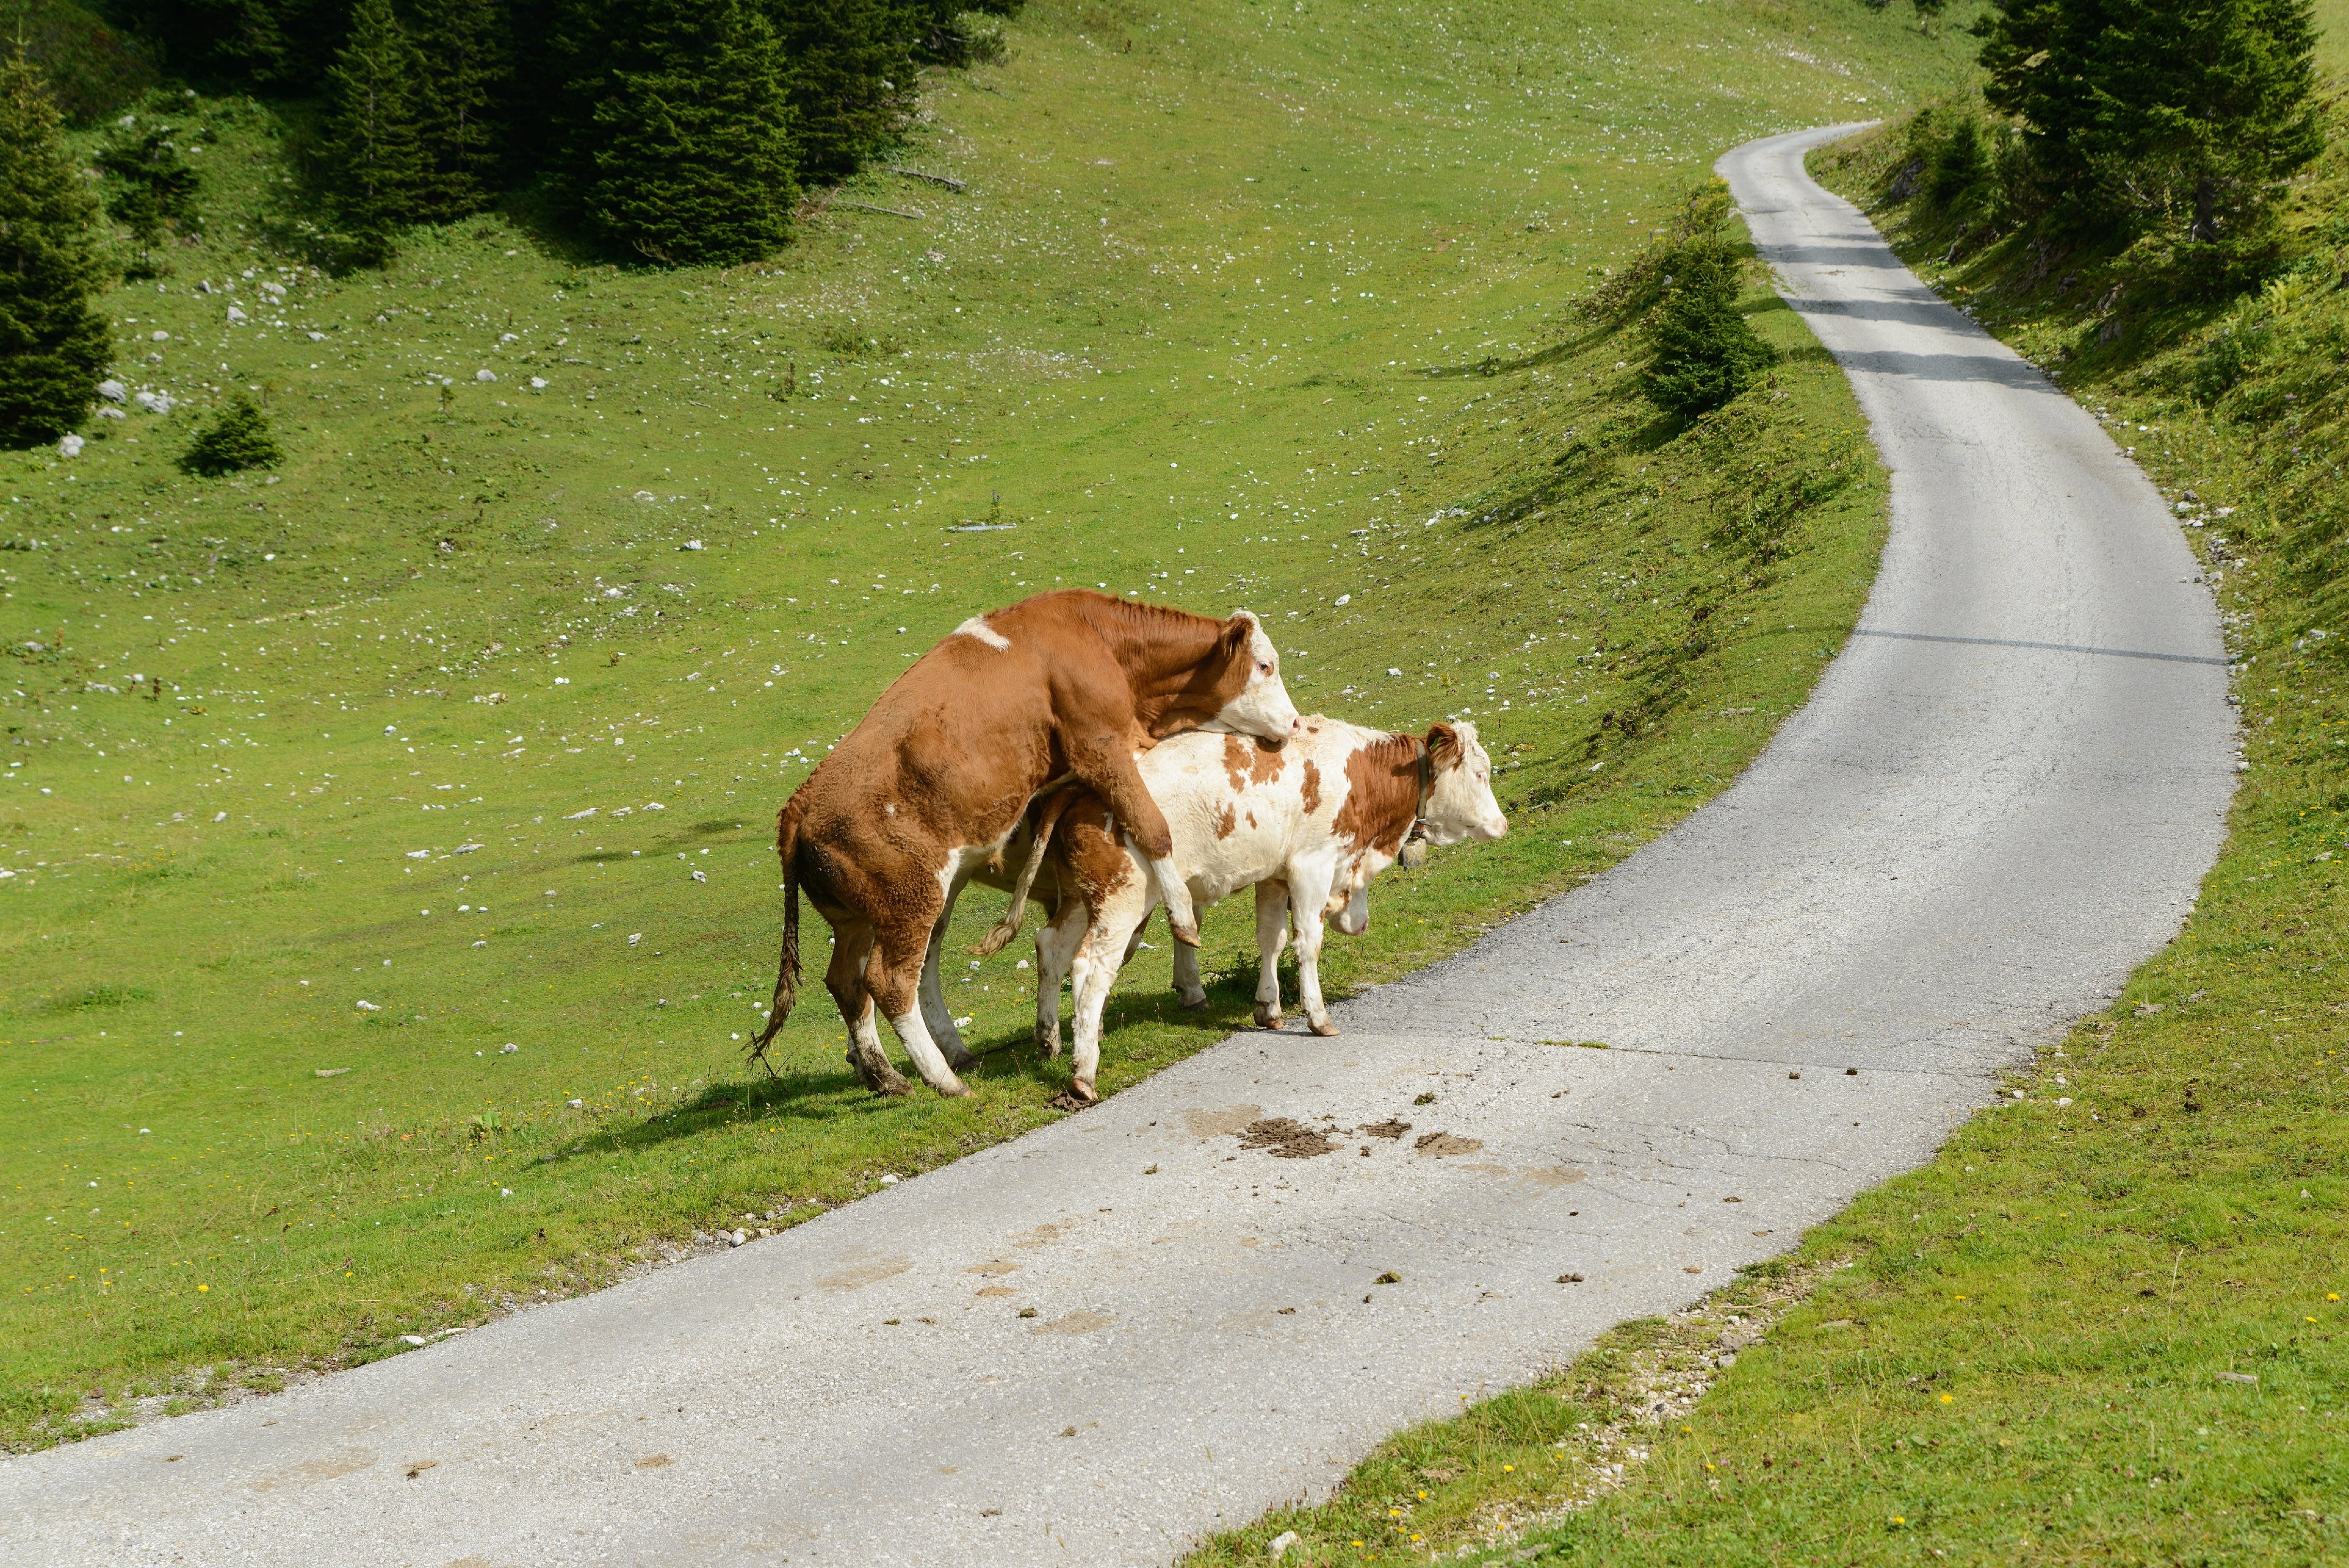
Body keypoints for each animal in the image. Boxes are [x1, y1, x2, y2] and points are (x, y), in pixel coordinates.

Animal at [752, 594, 1306, 1098]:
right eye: (1265, 665)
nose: (1297, 723)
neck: (1097, 637)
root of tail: (800, 803)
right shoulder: (1101, 746)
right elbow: (1154, 830)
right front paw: (1182, 924)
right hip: (912, 900)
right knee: (890, 983)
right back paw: (944, 1079)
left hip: (869, 916)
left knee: (855, 982)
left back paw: (891, 1073)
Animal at [1015, 718, 1494, 1103]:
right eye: (1481, 773)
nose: (1501, 823)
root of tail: (1079, 787)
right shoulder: (1311, 867)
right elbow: (1307, 943)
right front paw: (1318, 1017)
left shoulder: (1276, 876)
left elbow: (1271, 939)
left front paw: (1269, 1008)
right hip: (1122, 902)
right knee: (1091, 970)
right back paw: (1084, 1073)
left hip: (1081, 899)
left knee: (1051, 947)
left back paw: (1051, 1040)